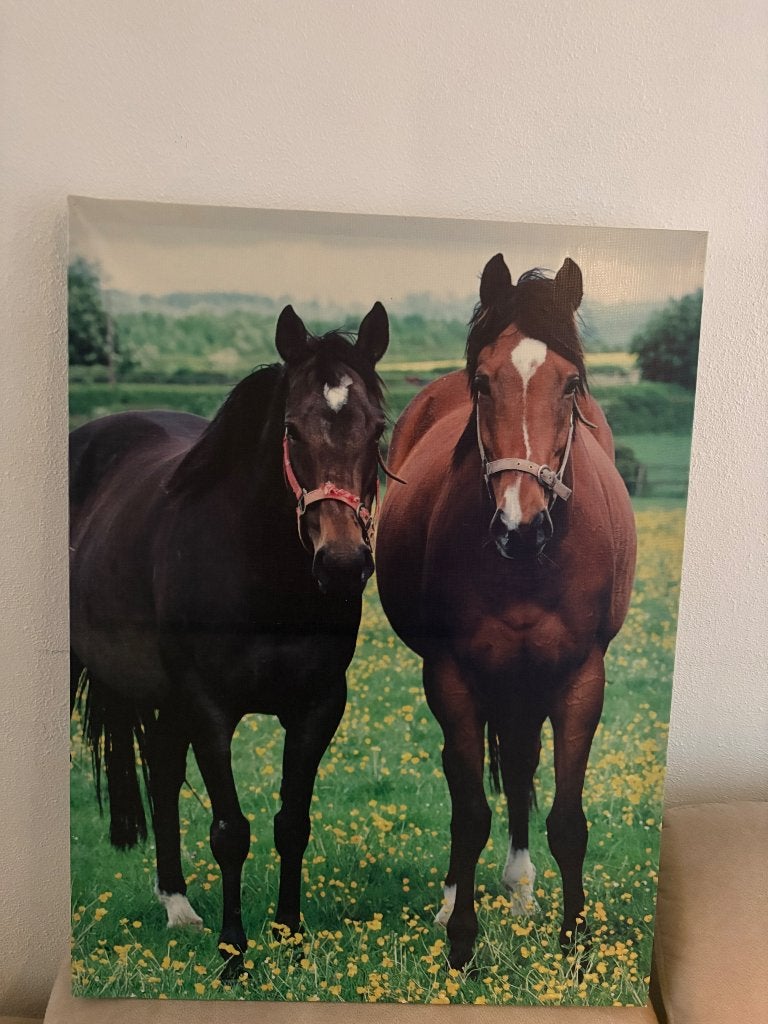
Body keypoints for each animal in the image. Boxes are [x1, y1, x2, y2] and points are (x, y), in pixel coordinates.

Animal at [70, 302, 390, 963]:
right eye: (292, 429)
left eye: (377, 431)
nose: (342, 563)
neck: (264, 578)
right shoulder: (210, 706)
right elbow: (229, 831)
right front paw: (234, 953)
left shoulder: (318, 706)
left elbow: (292, 823)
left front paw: (290, 937)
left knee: (163, 776)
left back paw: (178, 906)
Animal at [375, 255, 636, 969]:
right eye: (482, 382)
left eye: (571, 384)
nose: (520, 526)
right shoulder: (452, 675)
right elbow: (469, 812)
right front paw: (462, 944)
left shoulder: (581, 677)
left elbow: (567, 819)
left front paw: (574, 948)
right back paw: (455, 900)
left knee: (520, 767)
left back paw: (521, 889)